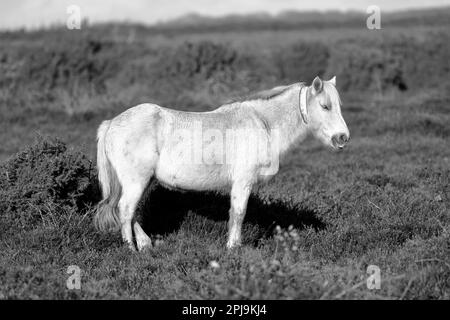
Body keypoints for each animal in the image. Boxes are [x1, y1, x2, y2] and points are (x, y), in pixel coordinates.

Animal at [94, 76, 348, 251]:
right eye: (325, 106)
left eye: (339, 105)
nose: (342, 138)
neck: (262, 122)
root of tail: (111, 123)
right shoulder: (243, 181)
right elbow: (238, 213)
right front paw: (233, 247)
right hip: (136, 181)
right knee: (125, 210)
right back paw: (131, 249)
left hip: (143, 181)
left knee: (131, 212)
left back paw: (145, 244)